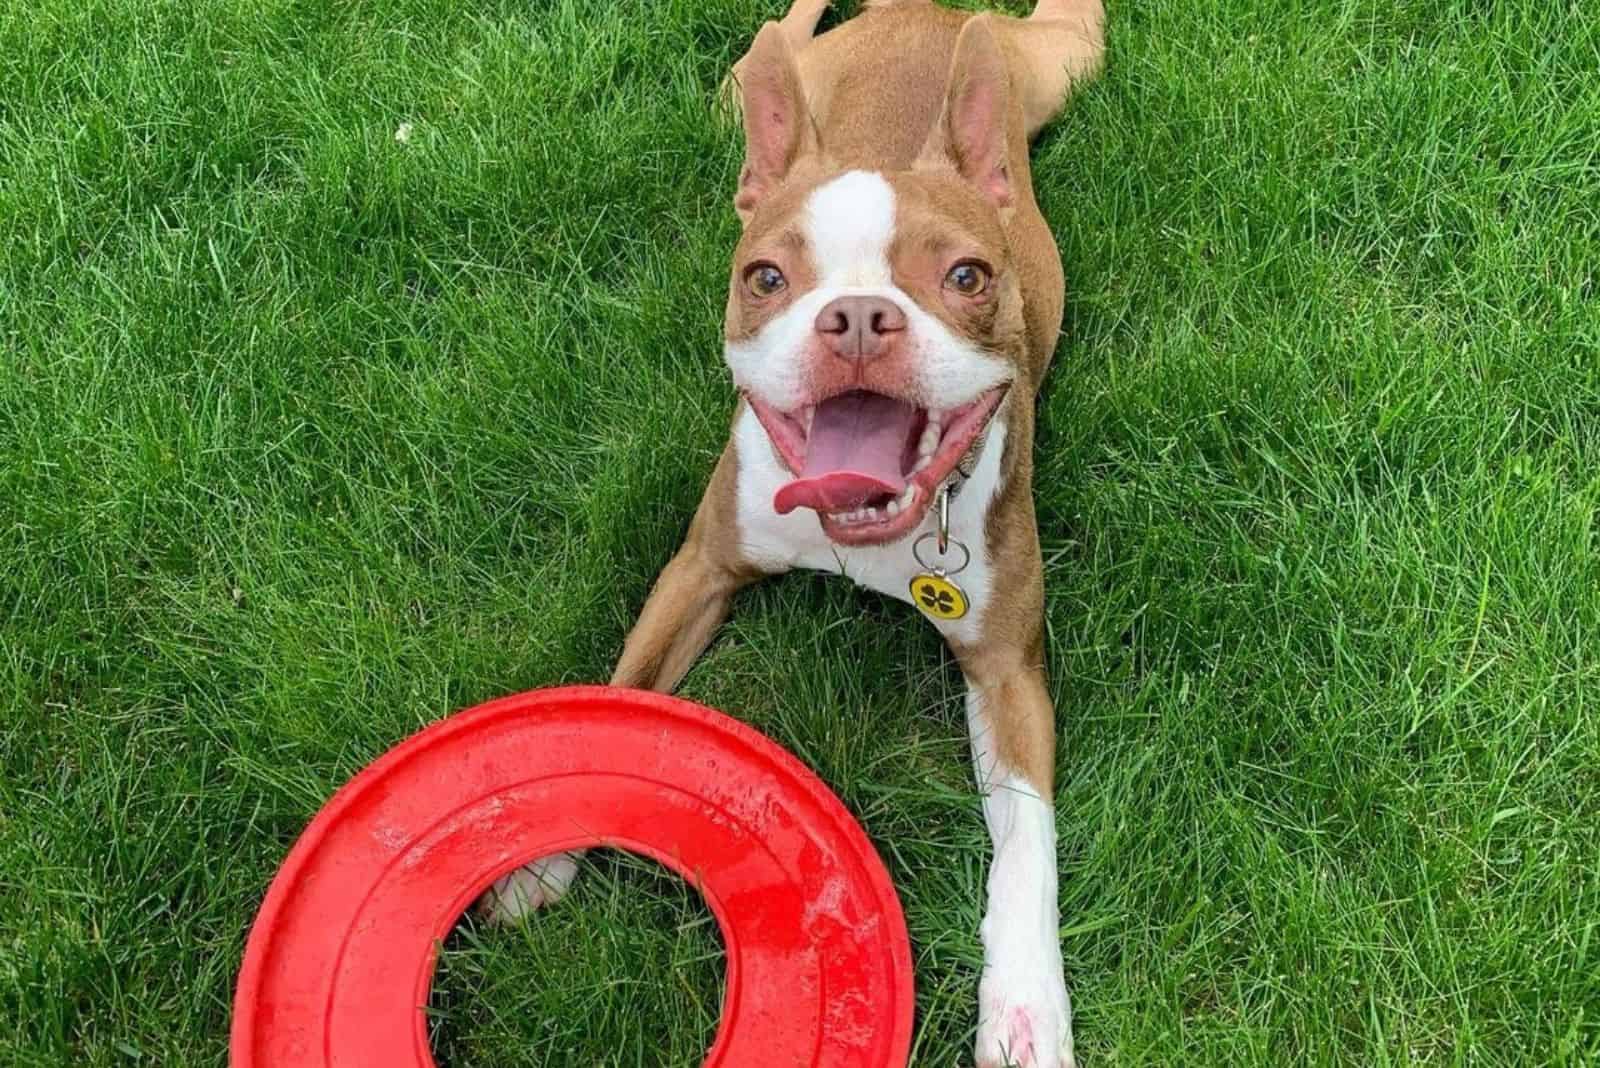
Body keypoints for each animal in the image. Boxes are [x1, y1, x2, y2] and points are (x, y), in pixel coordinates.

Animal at [486, 4, 1107, 1061]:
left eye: (969, 276)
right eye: (766, 277)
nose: (856, 316)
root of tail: (921, 14)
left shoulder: (1007, 672)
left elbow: (1026, 848)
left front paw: (1025, 1007)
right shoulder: (698, 570)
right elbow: (621, 695)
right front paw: (545, 853)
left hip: (1063, 65)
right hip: (753, 91)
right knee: (775, 31)